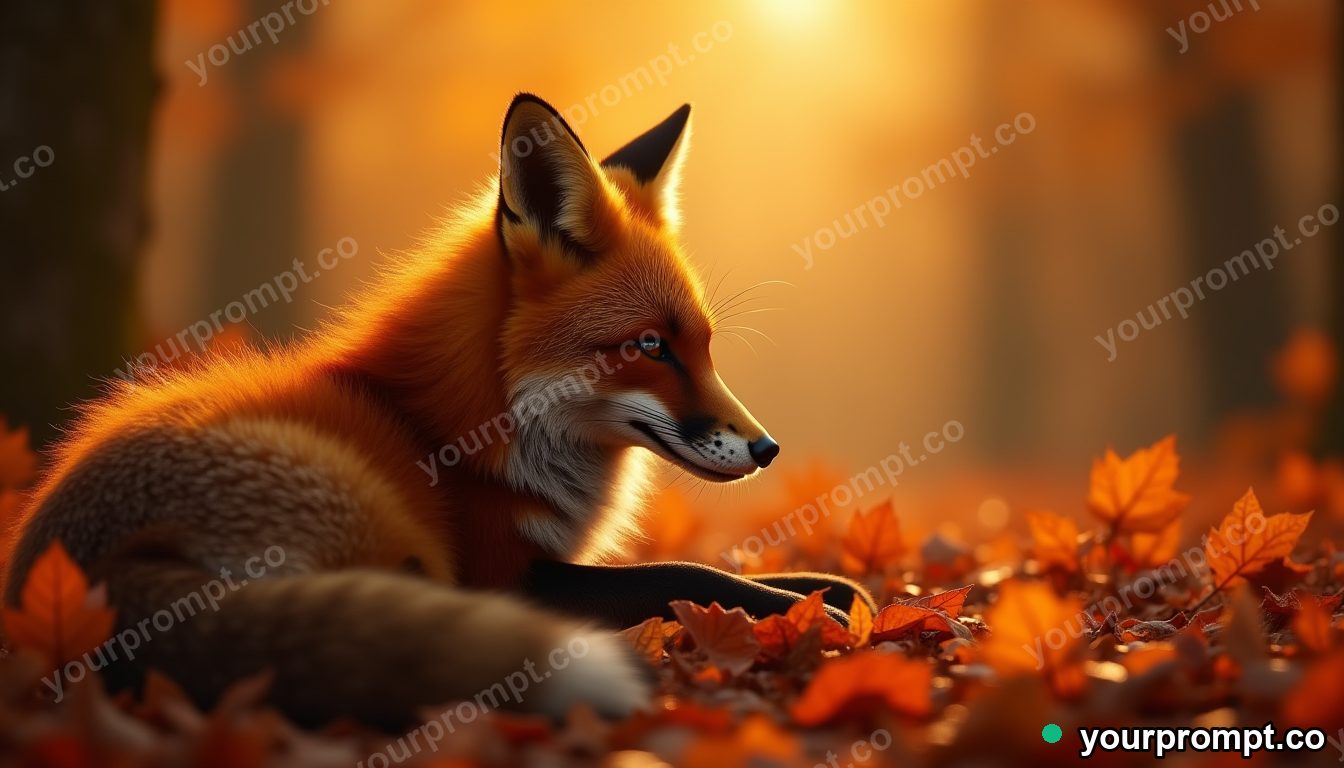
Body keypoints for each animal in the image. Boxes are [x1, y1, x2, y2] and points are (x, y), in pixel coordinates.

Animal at [2, 94, 872, 728]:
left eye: (705, 345)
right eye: (652, 345)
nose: (767, 449)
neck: (467, 427)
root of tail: (60, 571)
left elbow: (736, 571)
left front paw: (834, 589)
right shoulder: (506, 572)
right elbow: (680, 571)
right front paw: (809, 610)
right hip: (379, 529)